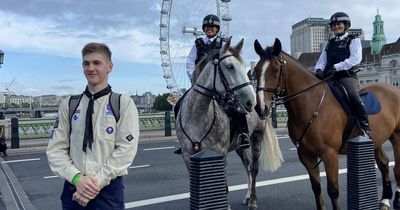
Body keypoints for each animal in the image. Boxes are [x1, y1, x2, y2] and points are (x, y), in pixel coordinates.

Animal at [177, 38, 282, 210]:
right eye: (230, 66)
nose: (252, 102)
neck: (197, 115)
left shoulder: (221, 153)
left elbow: (223, 184)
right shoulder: (188, 156)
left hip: (257, 136)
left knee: (254, 167)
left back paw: (252, 200)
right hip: (240, 145)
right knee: (247, 165)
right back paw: (247, 196)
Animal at [253, 38, 400, 210]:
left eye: (276, 70)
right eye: (256, 70)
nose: (260, 108)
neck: (312, 104)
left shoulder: (330, 154)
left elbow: (333, 190)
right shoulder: (306, 154)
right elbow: (316, 187)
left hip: (397, 136)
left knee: (397, 169)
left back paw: (396, 199)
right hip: (376, 139)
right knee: (384, 164)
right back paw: (385, 199)